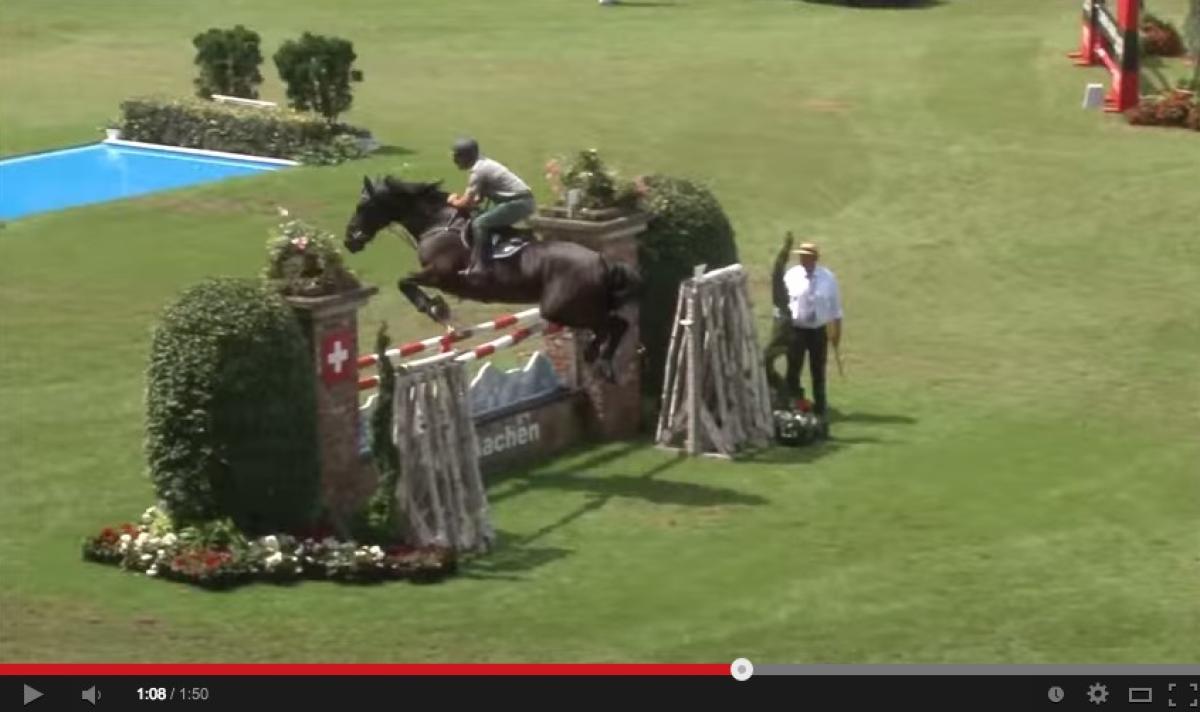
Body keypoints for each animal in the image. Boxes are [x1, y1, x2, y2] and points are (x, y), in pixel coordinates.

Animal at [343, 176, 643, 382]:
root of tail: (602, 261)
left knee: (614, 324)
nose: (349, 241)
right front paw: (442, 311)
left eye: (362, 205)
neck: (436, 224)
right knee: (614, 324)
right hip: (581, 306)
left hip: (562, 308)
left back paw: (601, 360)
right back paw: (597, 356)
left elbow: (404, 281)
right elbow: (407, 282)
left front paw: (437, 310)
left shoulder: (441, 275)